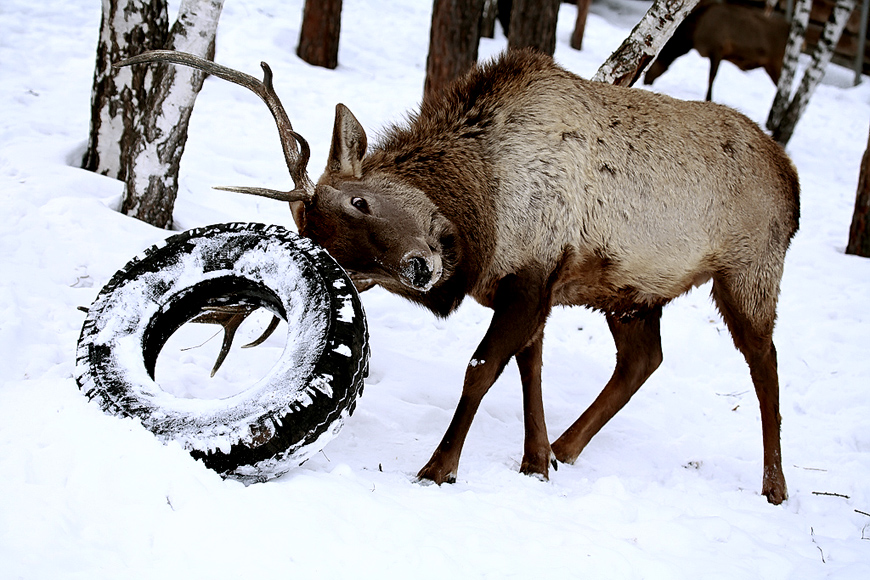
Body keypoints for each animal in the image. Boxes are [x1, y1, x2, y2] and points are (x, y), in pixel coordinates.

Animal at [119, 48, 800, 502]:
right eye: (350, 267)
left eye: (360, 201)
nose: (420, 267)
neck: (484, 207)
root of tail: (792, 181)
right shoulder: (536, 286)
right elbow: (529, 369)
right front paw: (535, 462)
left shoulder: (533, 273)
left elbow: (481, 370)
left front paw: (437, 469)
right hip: (632, 292)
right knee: (644, 359)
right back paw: (567, 448)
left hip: (750, 268)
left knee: (765, 366)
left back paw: (775, 485)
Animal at [644, 1, 792, 100]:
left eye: (652, 61)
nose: (645, 80)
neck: (691, 36)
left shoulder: (716, 49)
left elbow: (711, 78)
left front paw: (709, 99)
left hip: (777, 63)